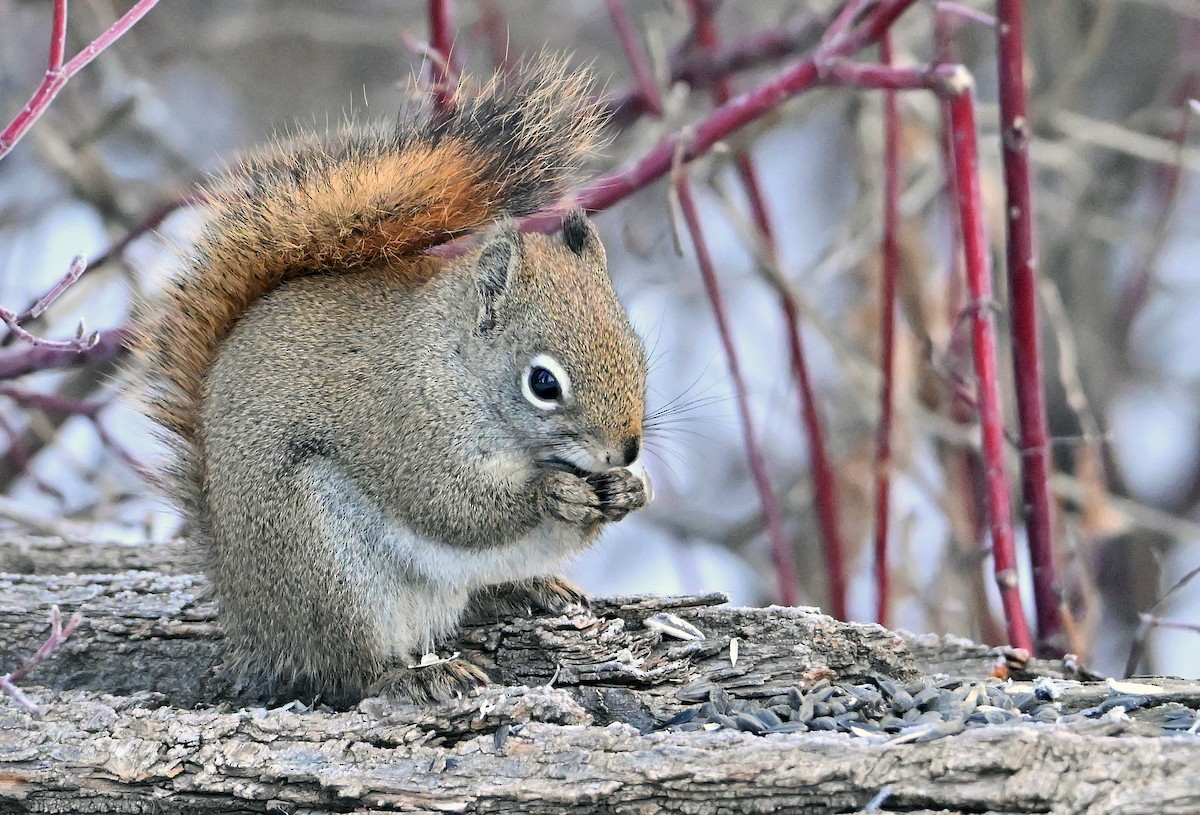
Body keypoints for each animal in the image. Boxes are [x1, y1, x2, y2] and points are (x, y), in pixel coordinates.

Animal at [134, 61, 650, 704]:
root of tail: (250, 619)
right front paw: (551, 494)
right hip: (323, 563)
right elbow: (454, 510)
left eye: (638, 350)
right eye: (543, 383)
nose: (624, 450)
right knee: (349, 668)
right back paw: (413, 675)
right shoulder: (406, 430)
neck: (455, 368)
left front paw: (628, 491)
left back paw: (525, 589)